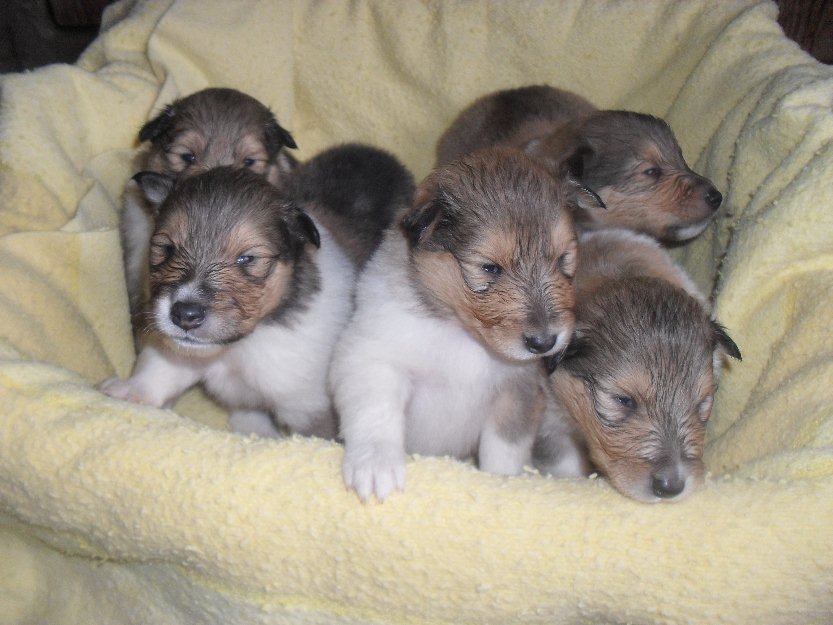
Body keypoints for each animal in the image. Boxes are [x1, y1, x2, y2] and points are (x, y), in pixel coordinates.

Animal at [101, 167, 354, 438]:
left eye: (247, 258)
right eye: (168, 248)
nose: (185, 315)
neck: (237, 349)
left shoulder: (307, 403)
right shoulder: (180, 353)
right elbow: (159, 370)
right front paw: (129, 392)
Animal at [328, 146, 600, 502]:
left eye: (562, 259)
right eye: (490, 268)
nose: (544, 343)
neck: (463, 334)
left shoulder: (518, 389)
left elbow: (503, 448)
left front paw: (500, 482)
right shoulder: (373, 358)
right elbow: (376, 411)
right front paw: (376, 467)